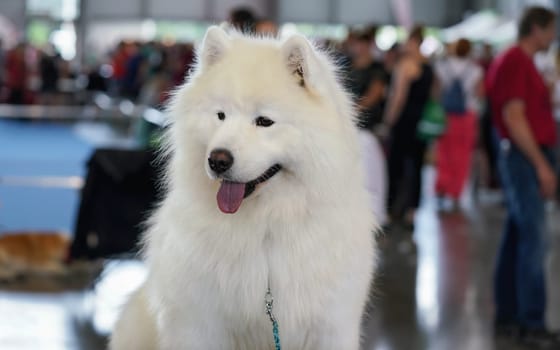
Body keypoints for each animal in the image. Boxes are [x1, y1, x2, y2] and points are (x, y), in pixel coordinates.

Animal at [109, 26, 376, 348]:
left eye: (264, 121)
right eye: (220, 115)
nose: (217, 160)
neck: (264, 229)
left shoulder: (330, 327)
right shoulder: (198, 325)